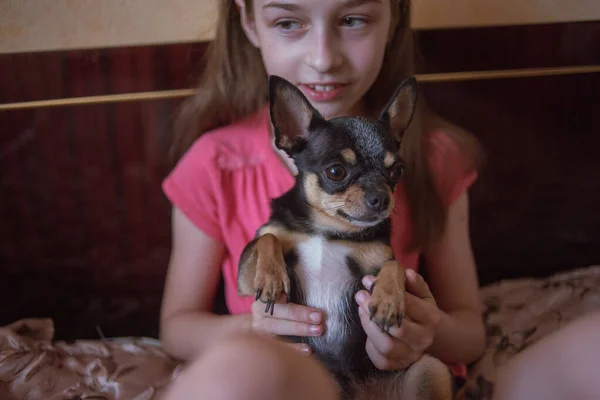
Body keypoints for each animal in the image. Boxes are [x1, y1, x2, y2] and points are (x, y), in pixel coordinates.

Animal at [237, 76, 452, 400]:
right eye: (336, 172)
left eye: (397, 171)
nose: (381, 198)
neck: (328, 230)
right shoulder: (244, 277)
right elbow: (267, 239)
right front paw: (272, 277)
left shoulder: (381, 260)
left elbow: (395, 266)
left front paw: (388, 299)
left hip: (431, 370)